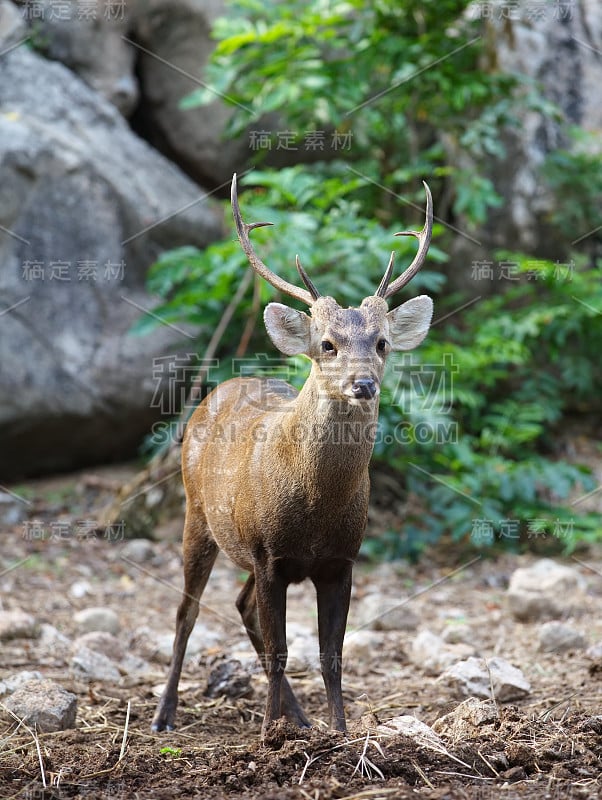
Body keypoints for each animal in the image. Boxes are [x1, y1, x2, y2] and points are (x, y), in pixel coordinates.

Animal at [150, 173, 432, 736]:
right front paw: (266, 738)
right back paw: (164, 713)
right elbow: (282, 649)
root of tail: (220, 388)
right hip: (199, 514)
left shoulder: (342, 560)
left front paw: (339, 732)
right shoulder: (268, 554)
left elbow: (332, 656)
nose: (363, 384)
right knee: (187, 613)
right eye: (326, 344)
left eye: (383, 342)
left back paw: (297, 717)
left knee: (239, 606)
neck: (315, 509)